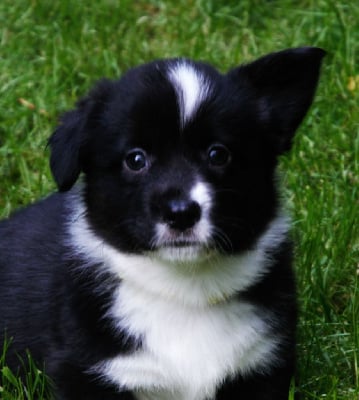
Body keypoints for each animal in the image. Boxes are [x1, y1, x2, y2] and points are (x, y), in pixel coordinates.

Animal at [0, 47, 326, 400]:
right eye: (135, 159)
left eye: (218, 154)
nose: (181, 213)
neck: (185, 290)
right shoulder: (88, 370)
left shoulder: (261, 364)